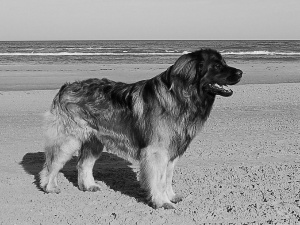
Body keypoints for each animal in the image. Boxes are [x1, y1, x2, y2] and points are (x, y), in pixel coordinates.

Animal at [39, 48, 241, 209]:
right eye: (217, 66)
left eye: (224, 63)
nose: (240, 72)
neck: (182, 96)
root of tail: (64, 88)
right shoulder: (157, 152)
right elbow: (158, 179)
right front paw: (162, 201)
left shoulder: (172, 151)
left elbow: (167, 178)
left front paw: (171, 196)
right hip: (68, 139)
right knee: (51, 164)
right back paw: (50, 187)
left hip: (94, 140)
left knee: (83, 164)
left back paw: (88, 186)